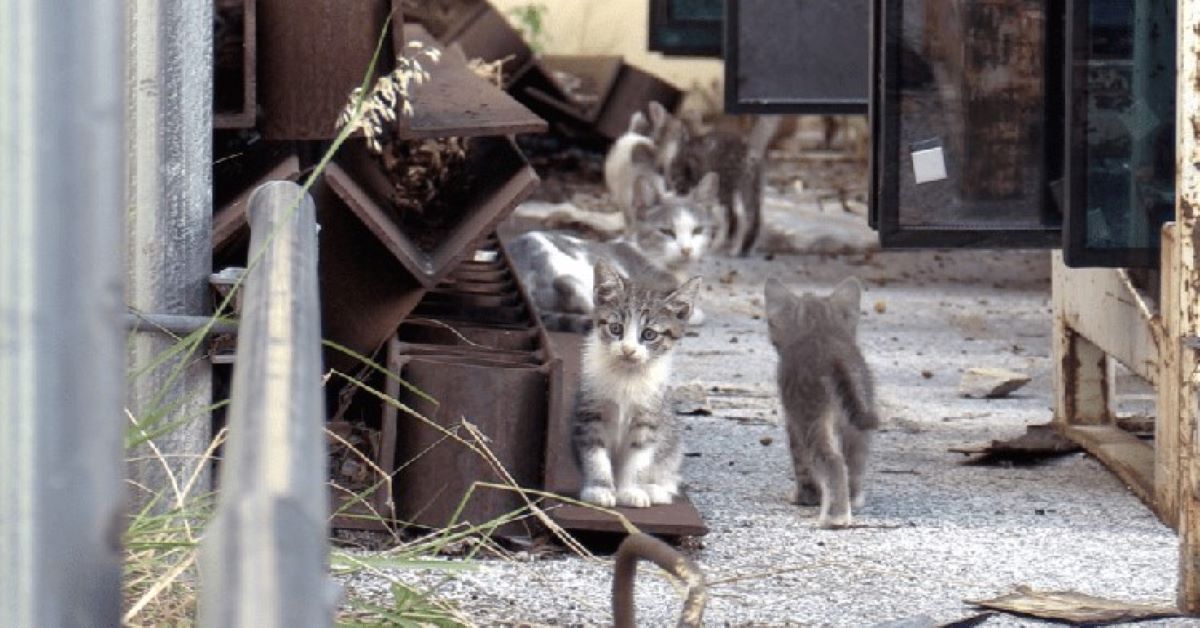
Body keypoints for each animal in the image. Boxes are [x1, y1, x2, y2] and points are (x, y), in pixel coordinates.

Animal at [568, 258, 700, 509]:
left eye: (649, 334)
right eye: (615, 328)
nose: (628, 350)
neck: (627, 377)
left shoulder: (648, 417)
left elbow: (639, 458)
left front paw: (631, 490)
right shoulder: (590, 412)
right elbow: (594, 454)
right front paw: (599, 489)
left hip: (672, 443)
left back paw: (655, 489)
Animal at [763, 277, 878, 528]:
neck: (819, 328)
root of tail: (835, 353)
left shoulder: (794, 418)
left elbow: (801, 464)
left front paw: (804, 497)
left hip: (812, 415)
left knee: (832, 460)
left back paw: (835, 517)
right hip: (858, 417)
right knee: (854, 460)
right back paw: (853, 499)